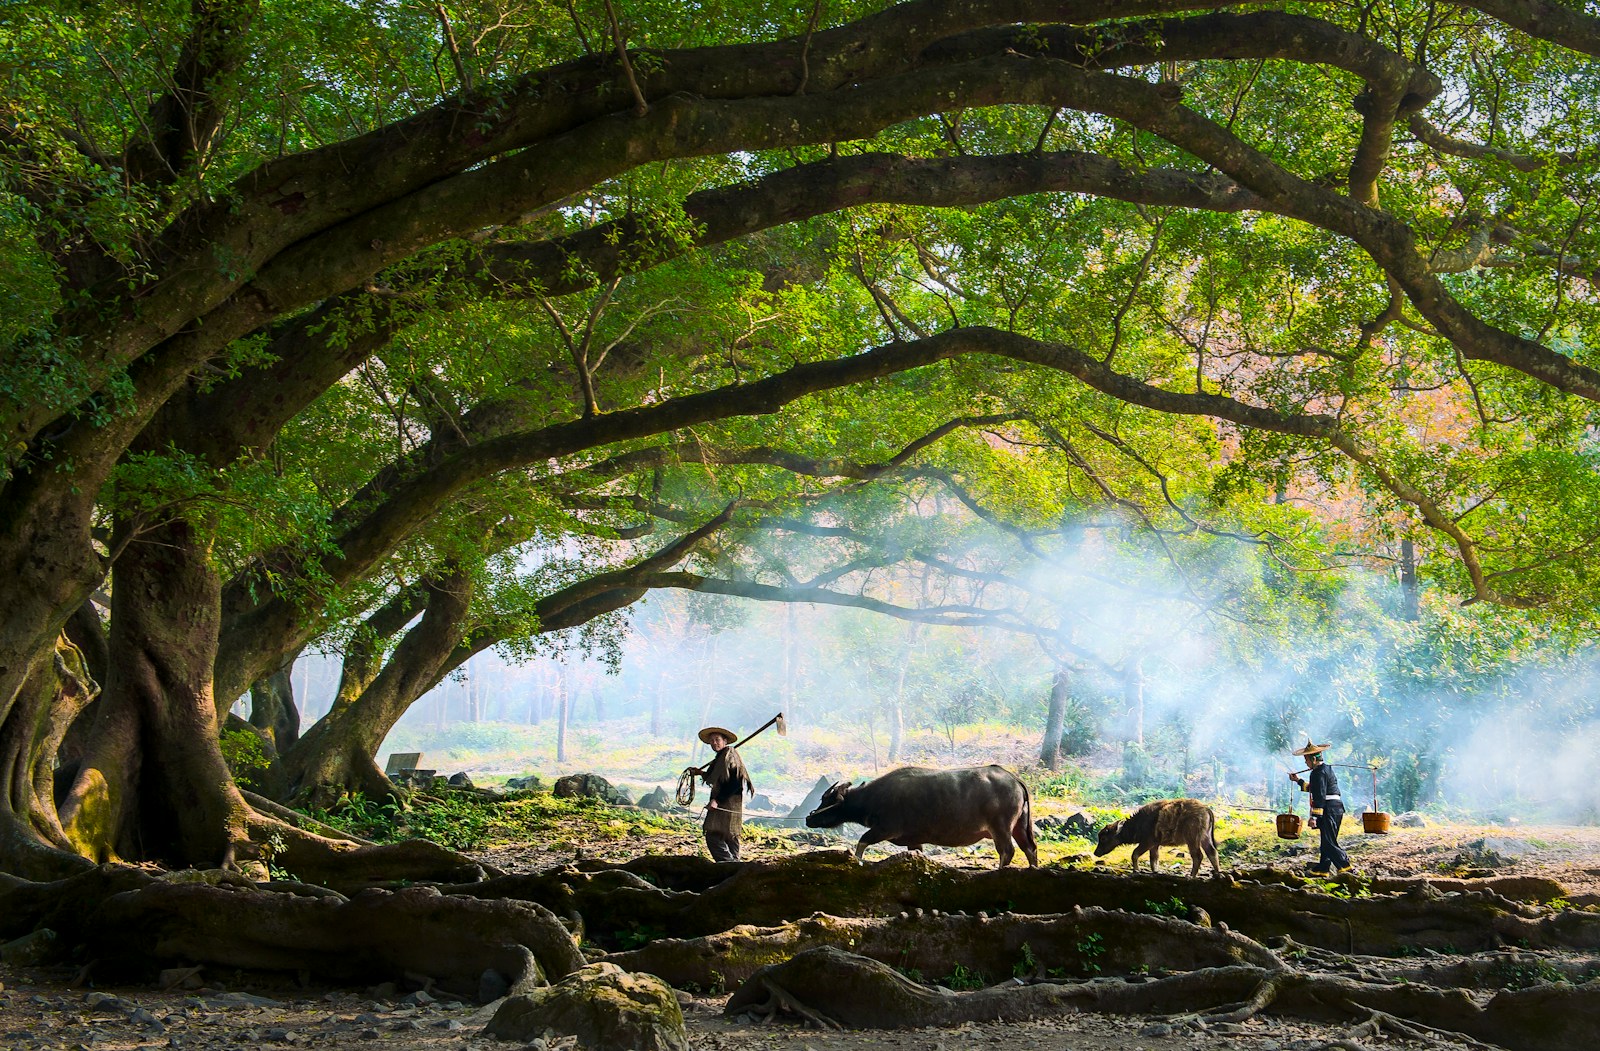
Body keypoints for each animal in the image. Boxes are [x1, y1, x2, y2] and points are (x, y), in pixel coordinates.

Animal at [805, 765, 1038, 868]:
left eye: (826, 799)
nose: (809, 818)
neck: (873, 798)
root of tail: (1014, 779)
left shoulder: (886, 829)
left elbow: (862, 841)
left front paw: (857, 861)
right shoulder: (914, 841)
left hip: (1001, 827)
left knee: (1007, 851)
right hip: (1019, 825)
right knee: (1029, 848)